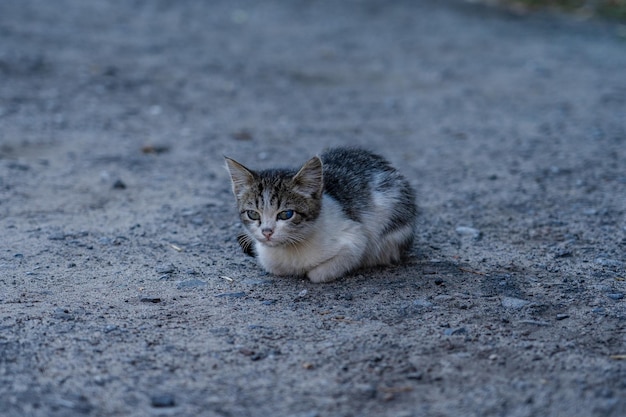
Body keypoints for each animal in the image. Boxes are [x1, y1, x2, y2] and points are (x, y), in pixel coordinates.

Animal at [223, 146, 414, 282]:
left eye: (286, 214)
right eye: (253, 214)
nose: (267, 232)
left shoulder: (355, 239)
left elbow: (320, 273)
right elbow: (274, 267)